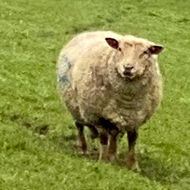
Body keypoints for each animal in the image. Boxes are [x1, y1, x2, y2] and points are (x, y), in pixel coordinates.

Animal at [56, 30, 163, 171]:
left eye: (145, 52)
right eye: (119, 49)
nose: (128, 68)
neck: (127, 99)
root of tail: (92, 31)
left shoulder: (135, 118)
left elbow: (132, 140)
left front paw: (133, 165)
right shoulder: (98, 116)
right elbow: (103, 137)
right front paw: (103, 160)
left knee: (113, 133)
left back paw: (113, 155)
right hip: (75, 107)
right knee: (80, 127)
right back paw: (84, 149)